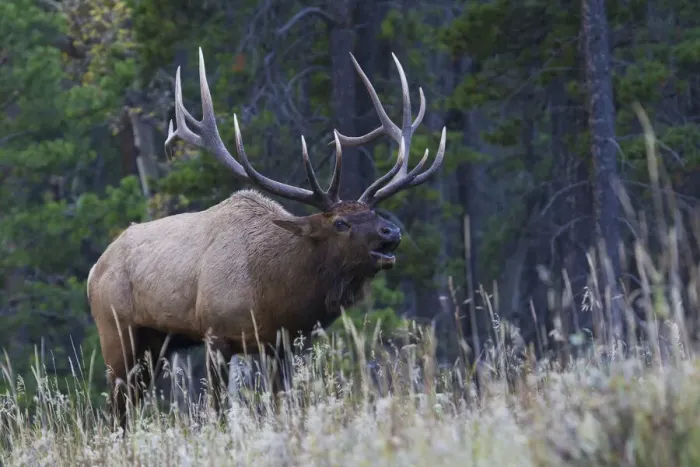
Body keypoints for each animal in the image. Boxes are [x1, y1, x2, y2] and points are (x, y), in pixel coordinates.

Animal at [86, 48, 445, 430]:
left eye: (374, 213)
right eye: (340, 223)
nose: (391, 233)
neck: (272, 293)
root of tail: (94, 271)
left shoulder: (279, 343)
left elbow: (281, 403)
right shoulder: (215, 334)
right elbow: (217, 411)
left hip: (155, 345)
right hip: (117, 333)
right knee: (116, 410)